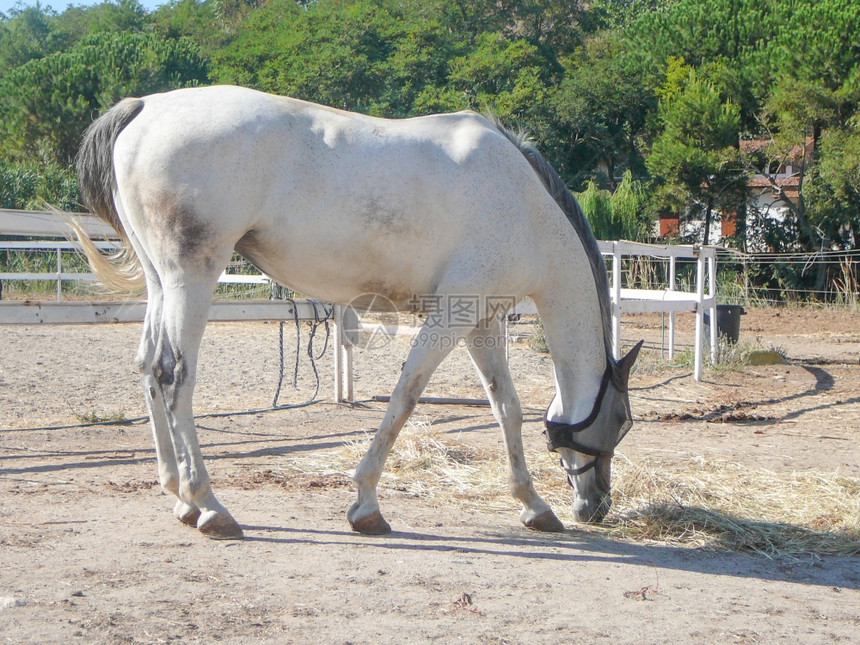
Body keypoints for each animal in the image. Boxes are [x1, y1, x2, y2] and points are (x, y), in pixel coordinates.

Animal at [72, 85, 640, 540]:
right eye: (620, 422)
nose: (597, 506)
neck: (523, 204)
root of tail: (144, 107)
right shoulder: (450, 317)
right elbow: (406, 397)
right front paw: (366, 503)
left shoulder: (480, 319)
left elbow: (508, 409)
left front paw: (533, 505)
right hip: (193, 276)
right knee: (174, 374)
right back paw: (210, 506)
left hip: (160, 282)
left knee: (148, 367)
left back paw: (179, 496)